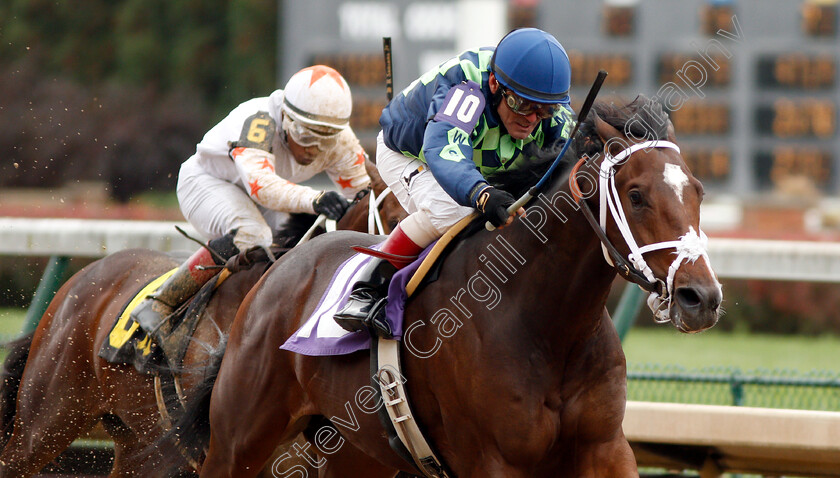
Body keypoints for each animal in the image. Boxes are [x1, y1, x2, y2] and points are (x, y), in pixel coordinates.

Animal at [166, 96, 720, 478]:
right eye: (636, 194)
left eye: (697, 190)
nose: (702, 298)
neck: (547, 326)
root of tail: (275, 271)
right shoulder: (493, 461)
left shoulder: (605, 448)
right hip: (241, 439)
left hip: (354, 450)